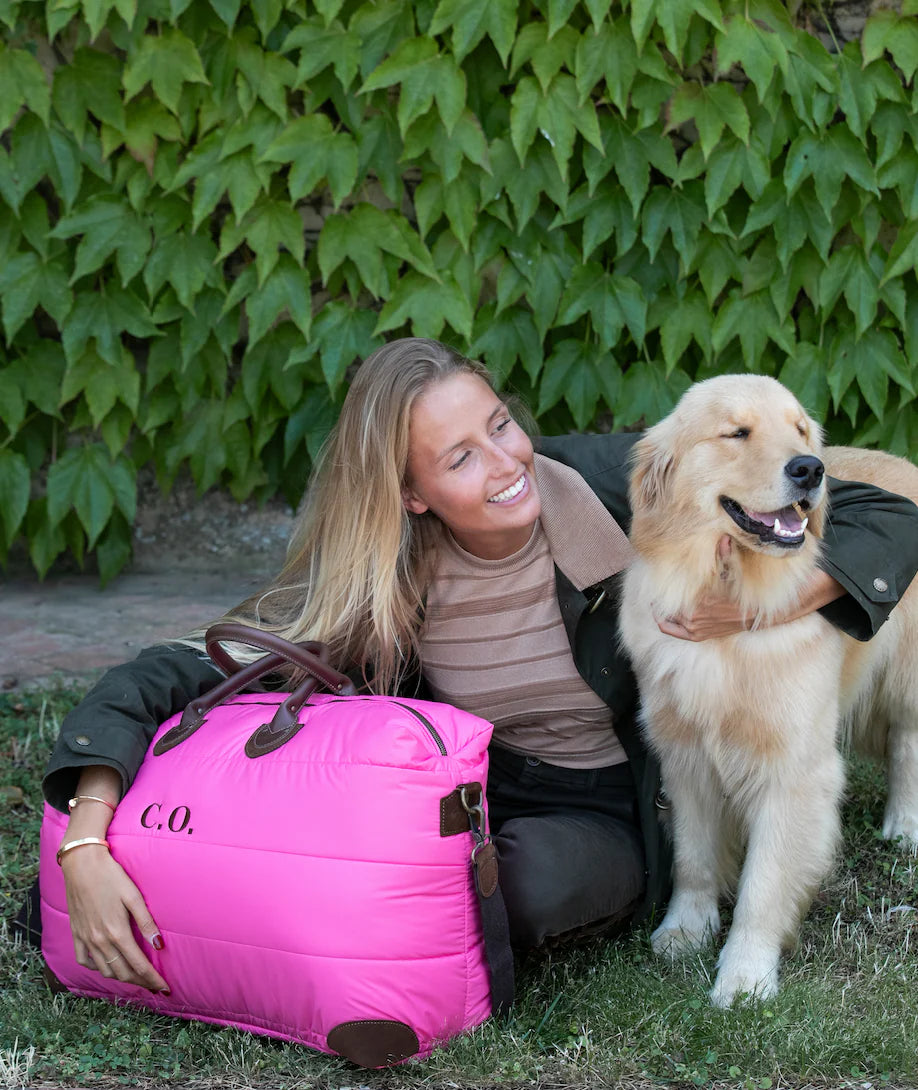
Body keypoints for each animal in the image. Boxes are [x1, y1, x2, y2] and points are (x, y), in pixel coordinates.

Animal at [614, 374, 915, 1002]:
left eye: (799, 429)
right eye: (737, 432)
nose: (811, 469)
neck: (729, 591)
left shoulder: (794, 770)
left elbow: (765, 882)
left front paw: (745, 976)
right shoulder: (684, 754)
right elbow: (695, 858)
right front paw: (686, 930)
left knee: (908, 740)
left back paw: (904, 825)